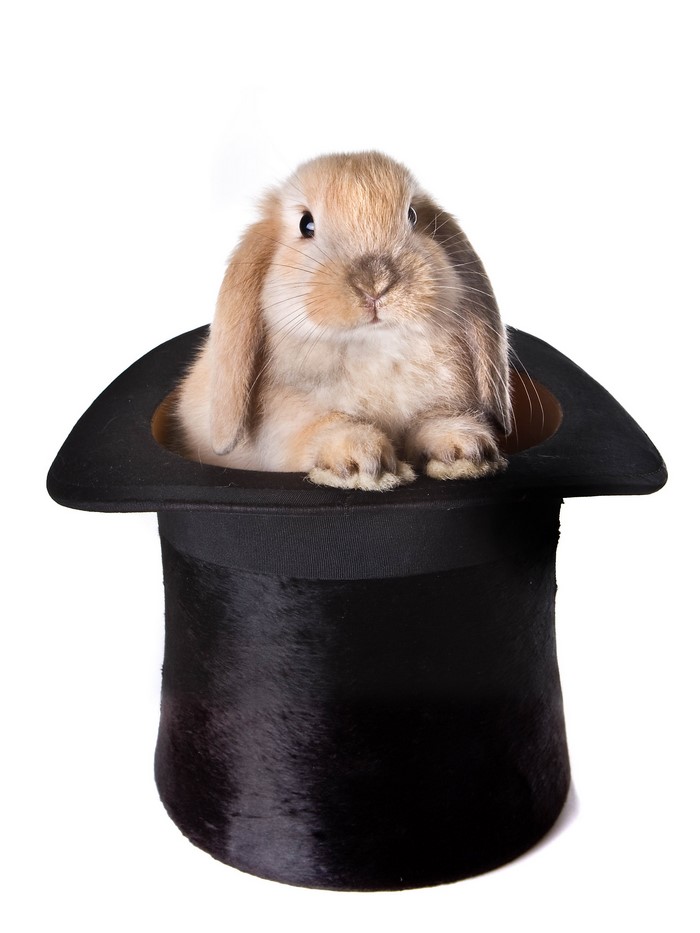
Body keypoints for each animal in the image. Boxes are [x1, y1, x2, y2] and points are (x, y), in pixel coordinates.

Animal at [173, 151, 512, 491]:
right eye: (306, 224)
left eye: (413, 216)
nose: (375, 283)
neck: (374, 346)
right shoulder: (284, 426)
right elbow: (323, 427)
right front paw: (363, 463)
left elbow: (432, 419)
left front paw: (466, 451)